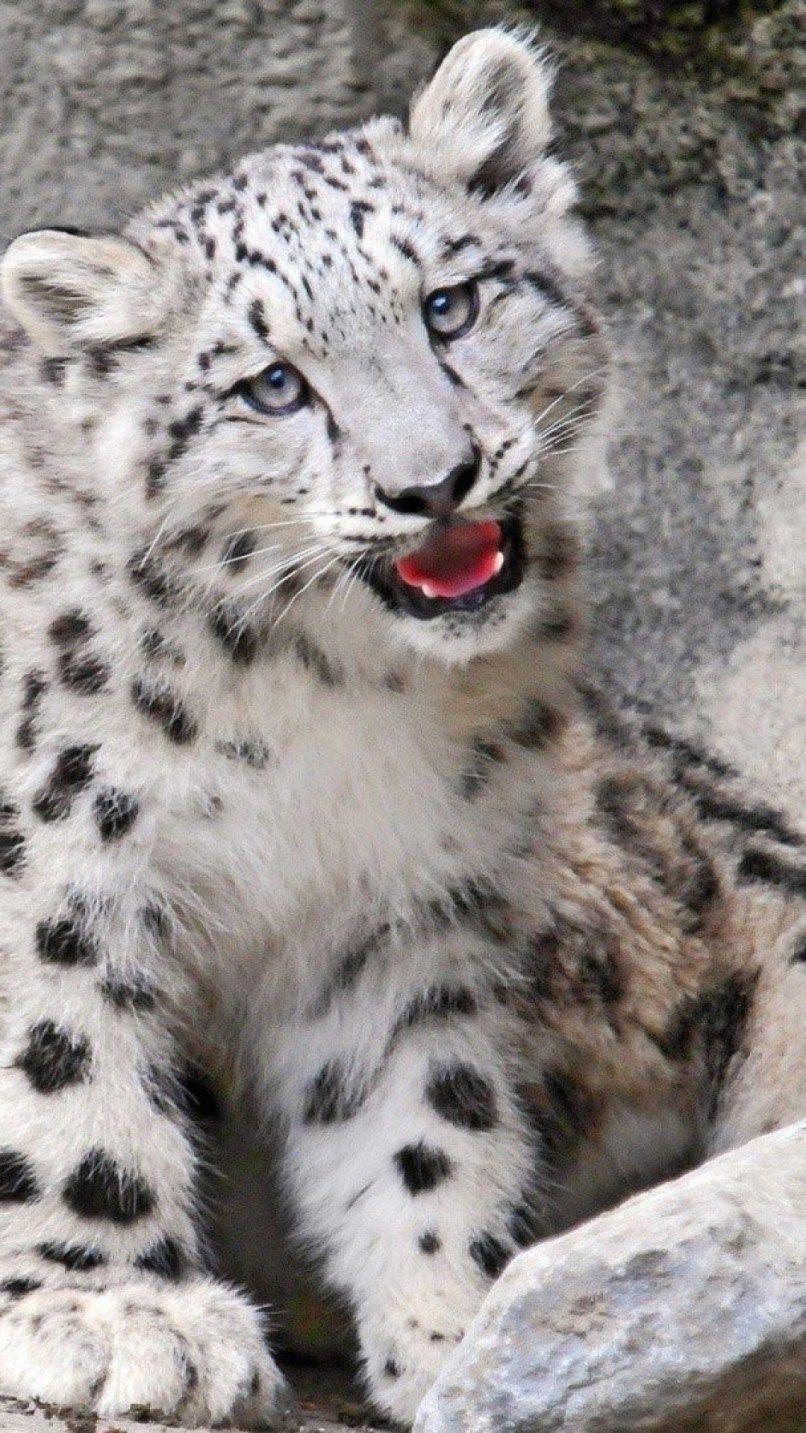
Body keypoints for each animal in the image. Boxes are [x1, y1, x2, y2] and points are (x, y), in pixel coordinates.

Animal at [0, 26, 803, 1429]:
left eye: (450, 304)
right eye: (272, 384)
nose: (431, 481)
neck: (317, 705)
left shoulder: (395, 912)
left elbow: (420, 1111)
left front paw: (459, 1328)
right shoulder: (53, 861)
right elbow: (62, 1069)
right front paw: (118, 1314)